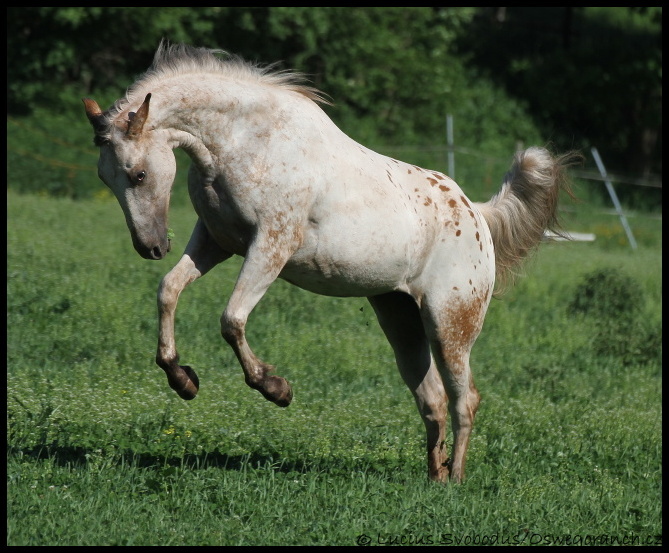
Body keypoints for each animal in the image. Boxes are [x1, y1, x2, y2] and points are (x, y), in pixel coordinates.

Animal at [82, 42, 576, 484]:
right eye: (104, 177)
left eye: (138, 174)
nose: (150, 247)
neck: (245, 141)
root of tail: (477, 214)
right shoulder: (216, 241)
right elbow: (168, 290)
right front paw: (182, 379)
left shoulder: (271, 245)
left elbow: (231, 319)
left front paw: (276, 388)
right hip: (400, 321)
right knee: (432, 400)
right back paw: (433, 478)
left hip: (449, 324)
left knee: (464, 400)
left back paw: (455, 478)